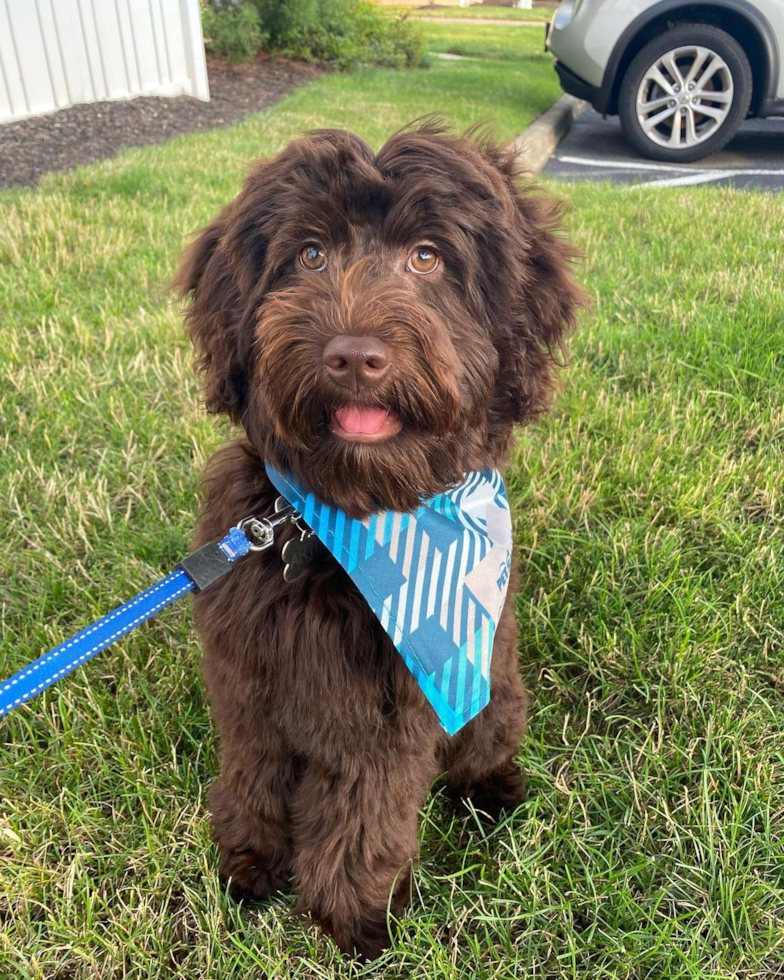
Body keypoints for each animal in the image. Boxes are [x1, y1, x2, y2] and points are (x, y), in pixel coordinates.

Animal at [176, 122, 580, 956]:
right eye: (309, 254)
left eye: (427, 257)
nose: (354, 356)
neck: (342, 514)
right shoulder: (248, 679)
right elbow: (254, 769)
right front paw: (249, 860)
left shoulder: (389, 709)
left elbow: (365, 808)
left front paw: (354, 917)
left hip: (491, 684)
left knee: (487, 742)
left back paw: (493, 790)